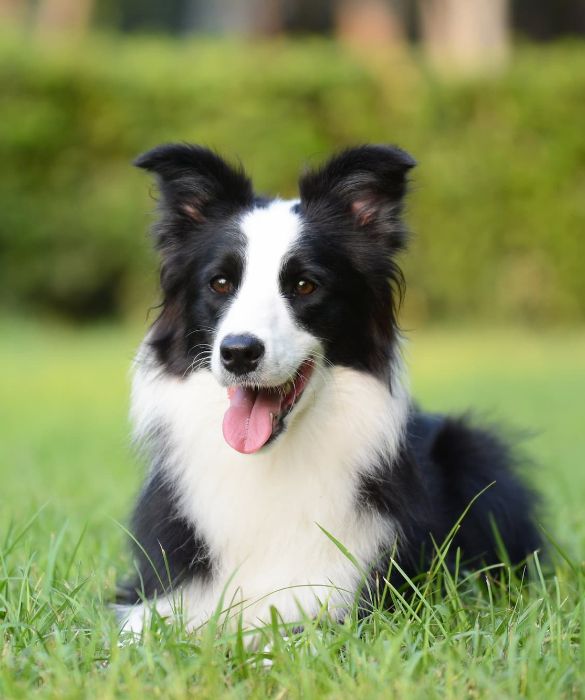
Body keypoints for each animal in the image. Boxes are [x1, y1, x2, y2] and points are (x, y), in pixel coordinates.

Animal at [117, 144, 540, 636]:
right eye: (220, 283)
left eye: (305, 285)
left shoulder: (355, 598)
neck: (270, 465)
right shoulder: (158, 593)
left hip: (474, 449)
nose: (239, 352)